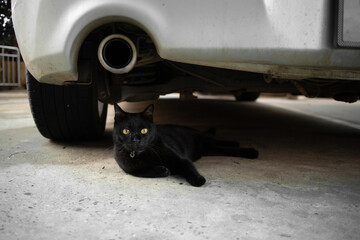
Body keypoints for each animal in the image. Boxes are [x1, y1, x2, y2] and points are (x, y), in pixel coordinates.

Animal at [113, 104, 258, 187]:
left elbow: (188, 168)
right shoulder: (129, 168)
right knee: (221, 147)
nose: (135, 140)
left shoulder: (180, 159)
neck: (144, 154)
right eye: (126, 131)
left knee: (215, 140)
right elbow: (143, 171)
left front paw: (198, 180)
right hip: (208, 149)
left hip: (203, 141)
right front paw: (163, 170)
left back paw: (249, 150)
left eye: (144, 130)